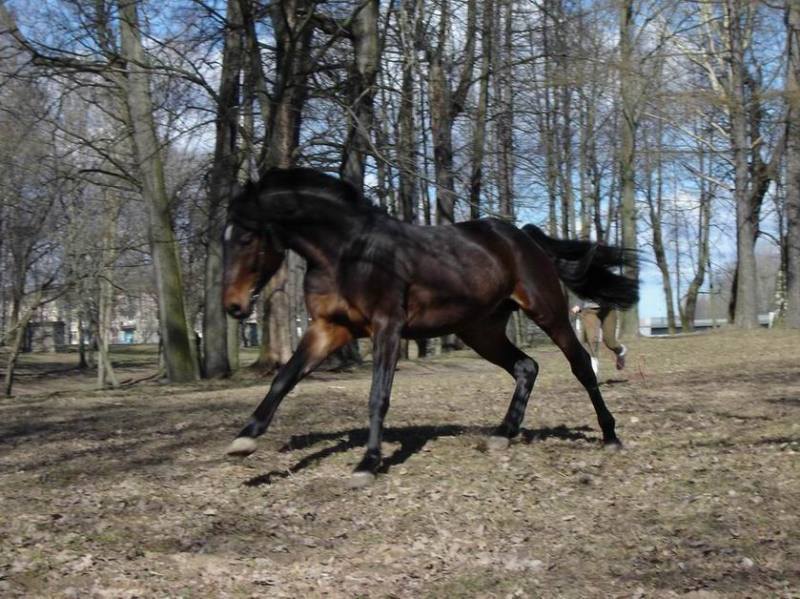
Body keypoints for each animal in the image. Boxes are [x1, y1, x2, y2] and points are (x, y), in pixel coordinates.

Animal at [220, 166, 636, 486]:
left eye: (246, 237)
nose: (234, 306)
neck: (350, 253)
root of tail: (524, 238)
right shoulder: (327, 329)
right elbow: (284, 378)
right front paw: (244, 440)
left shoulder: (386, 327)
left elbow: (378, 396)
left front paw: (367, 464)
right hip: (480, 331)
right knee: (526, 366)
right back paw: (502, 435)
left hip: (547, 313)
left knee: (580, 365)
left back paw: (610, 435)